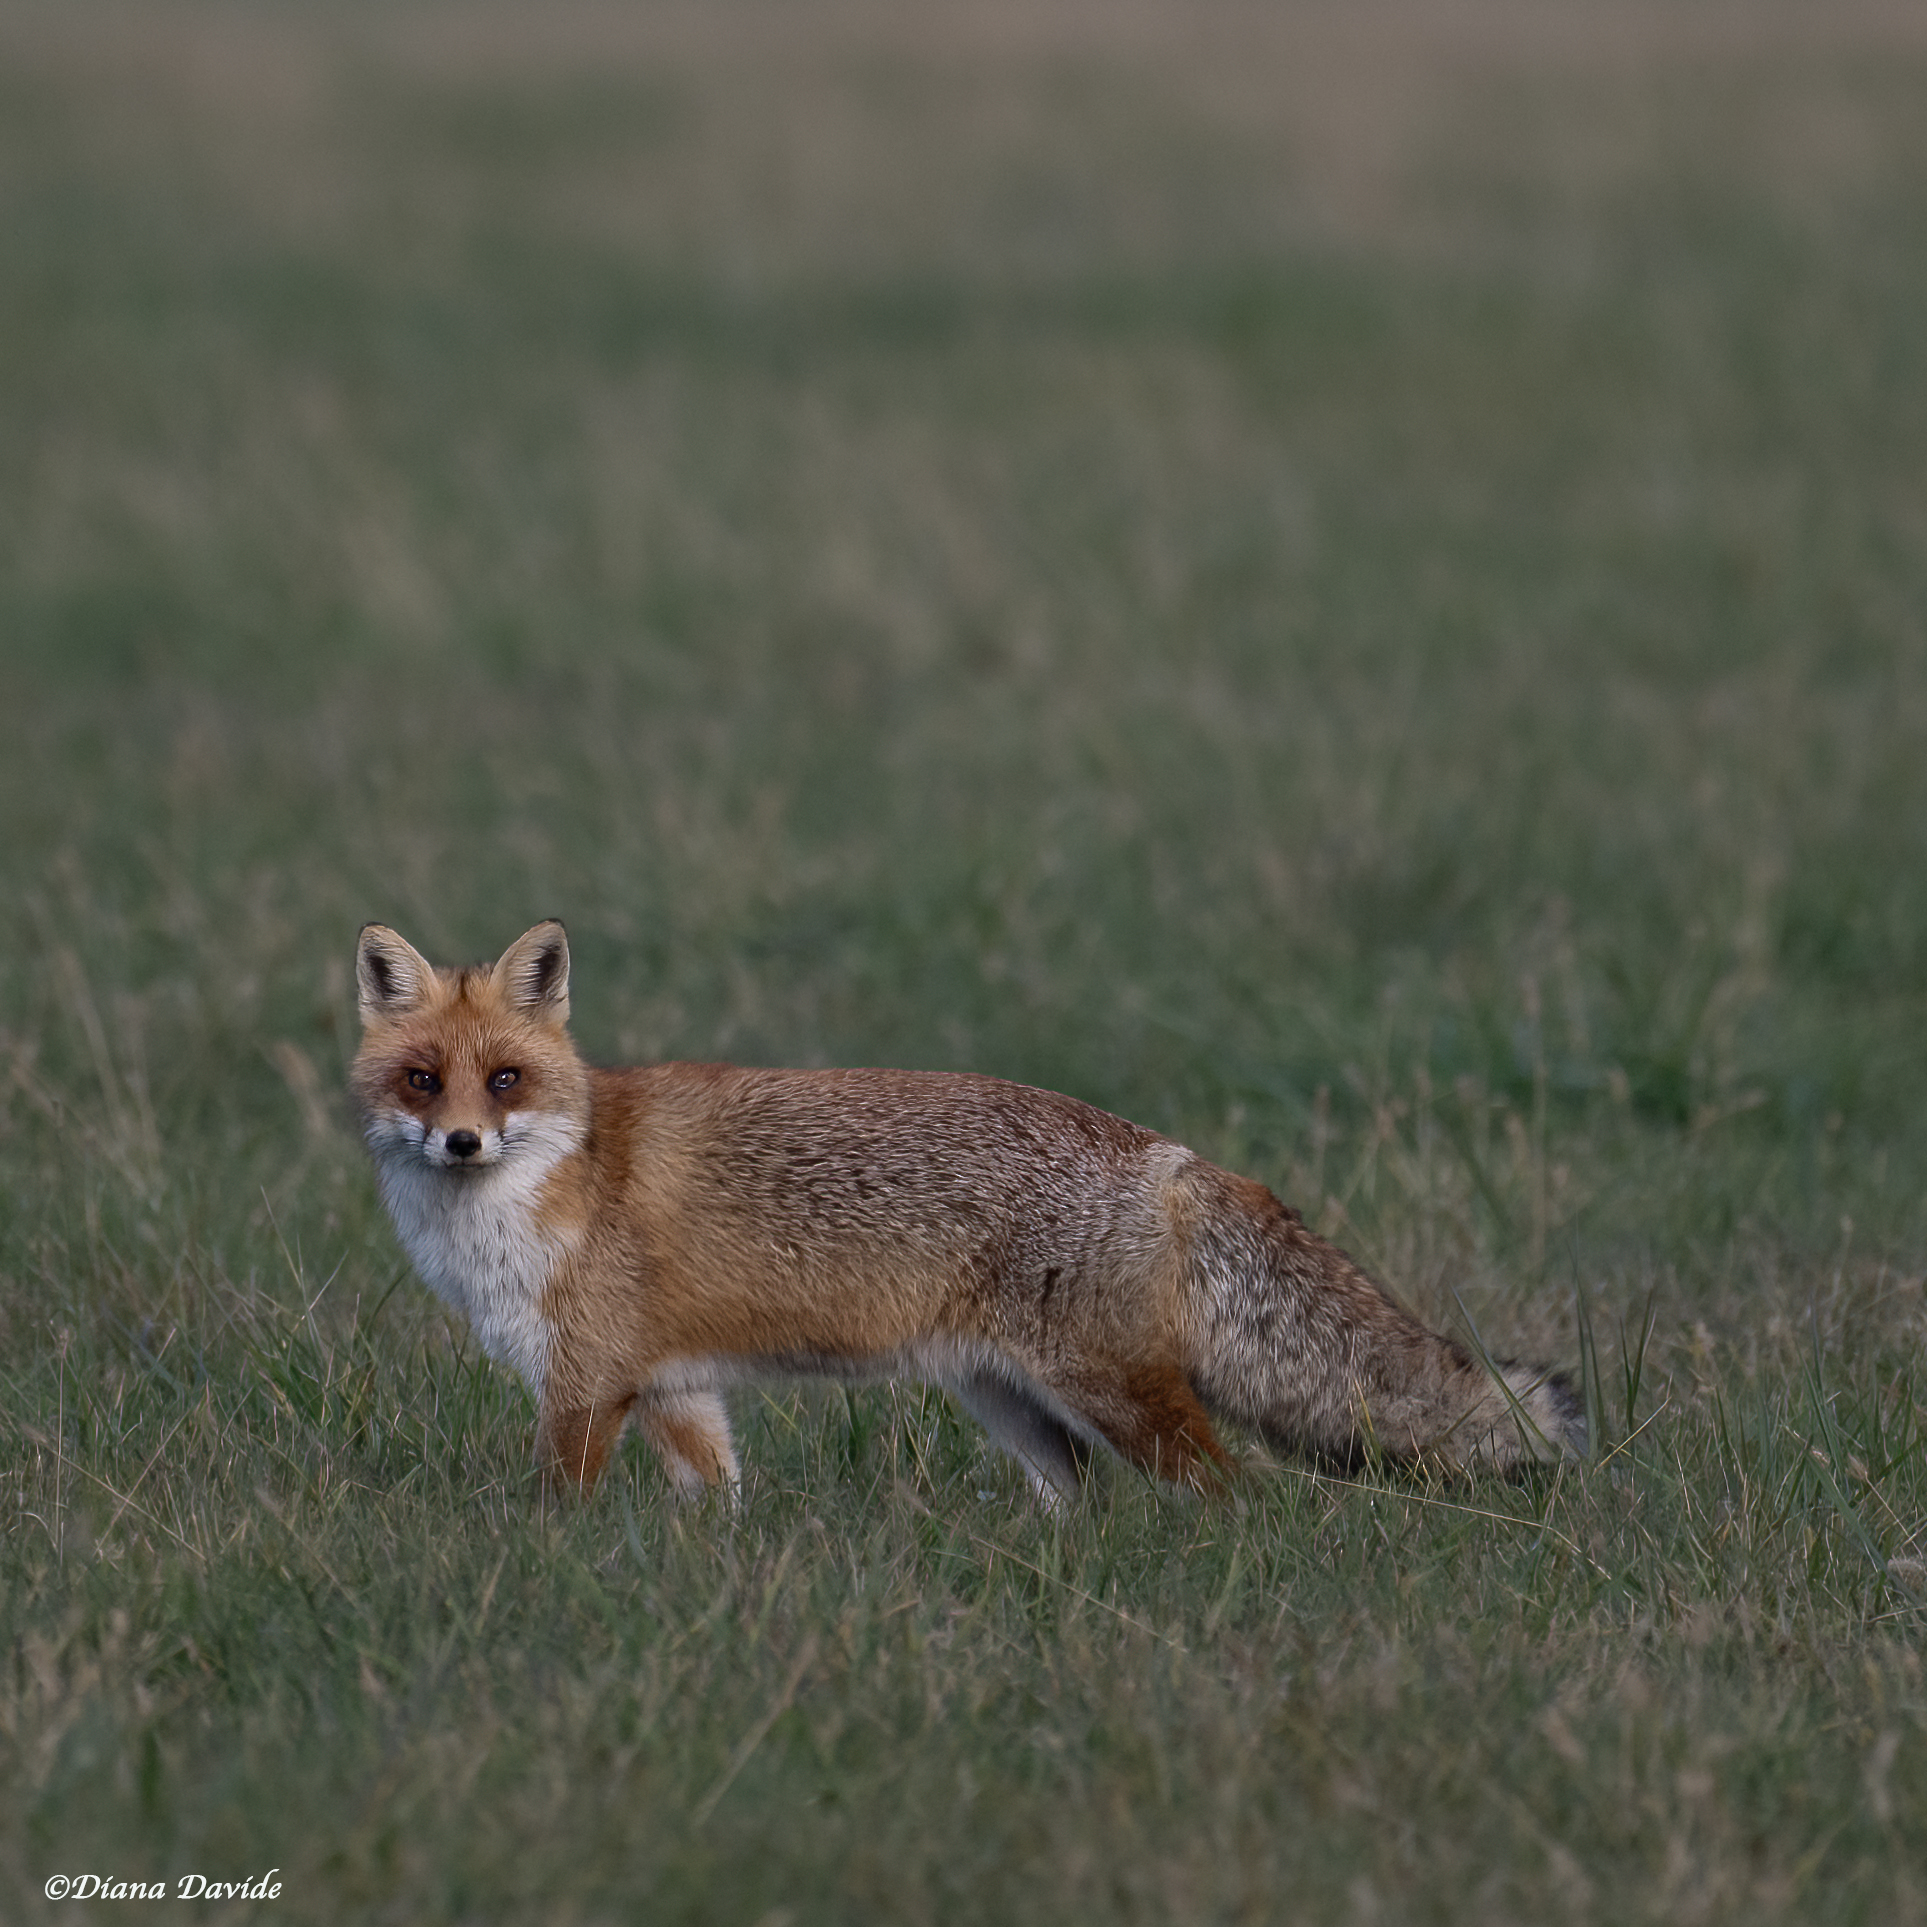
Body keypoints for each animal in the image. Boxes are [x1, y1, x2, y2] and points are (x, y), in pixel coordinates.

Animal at [351, 919, 1584, 1503]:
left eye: (505, 1079)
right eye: (423, 1081)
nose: (461, 1142)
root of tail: (1164, 1151)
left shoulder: (587, 1382)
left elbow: (552, 1510)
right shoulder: (676, 1390)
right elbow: (720, 1503)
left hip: (1112, 1392)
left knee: (1235, 1492)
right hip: (1009, 1399)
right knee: (1083, 1499)